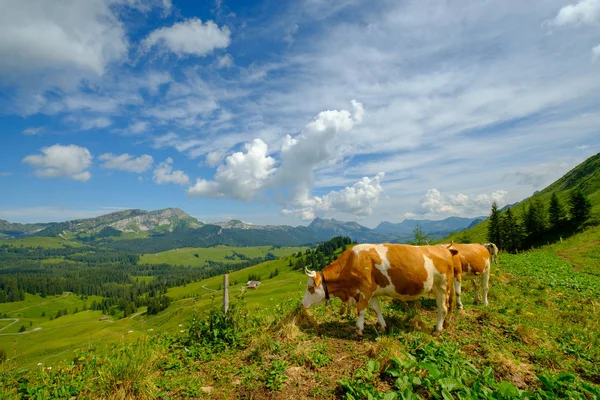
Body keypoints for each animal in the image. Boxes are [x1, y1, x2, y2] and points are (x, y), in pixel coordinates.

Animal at [300, 244, 460, 334]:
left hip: (442, 286)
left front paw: (359, 330)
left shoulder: (364, 290)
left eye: (310, 288)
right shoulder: (373, 292)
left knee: (443, 308)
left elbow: (361, 310)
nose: (302, 304)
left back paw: (437, 330)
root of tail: (444, 249)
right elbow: (377, 309)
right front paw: (382, 326)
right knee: (447, 307)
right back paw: (445, 324)